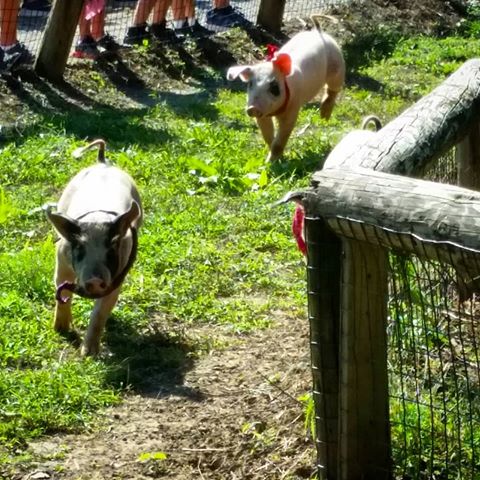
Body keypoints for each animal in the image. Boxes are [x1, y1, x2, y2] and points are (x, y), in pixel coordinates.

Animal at [44, 140, 142, 356]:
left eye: (112, 246)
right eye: (80, 246)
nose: (95, 280)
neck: (97, 220)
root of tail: (103, 162)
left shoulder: (118, 276)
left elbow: (100, 313)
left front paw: (89, 354)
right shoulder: (61, 259)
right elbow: (62, 290)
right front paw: (60, 330)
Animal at [226, 15, 344, 161]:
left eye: (274, 86)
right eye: (250, 84)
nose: (252, 108)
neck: (275, 112)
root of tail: (318, 32)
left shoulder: (293, 109)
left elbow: (281, 138)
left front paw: (272, 162)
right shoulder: (262, 116)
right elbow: (268, 136)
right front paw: (270, 160)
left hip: (337, 67)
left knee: (333, 90)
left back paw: (324, 118)